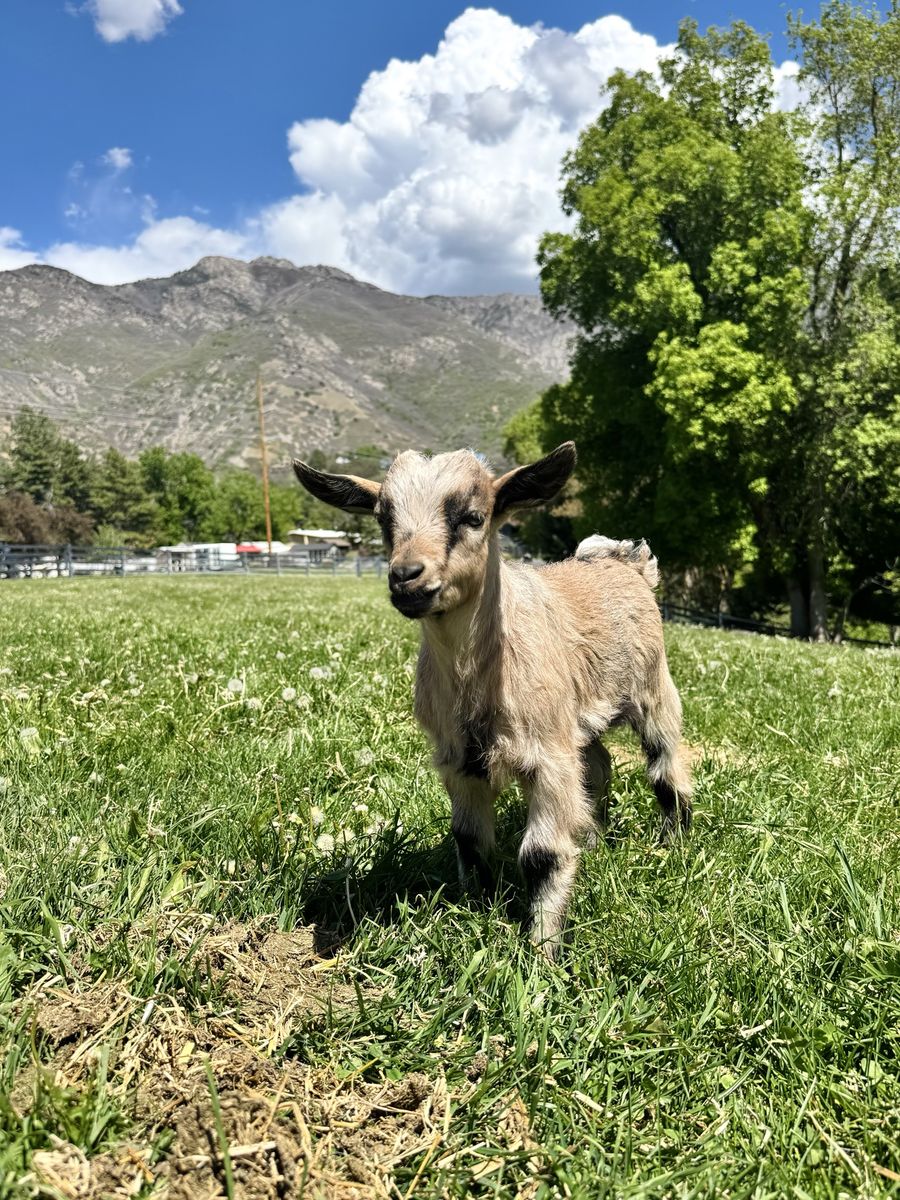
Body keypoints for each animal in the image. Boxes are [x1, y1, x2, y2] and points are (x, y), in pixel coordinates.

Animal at [293, 442, 692, 958]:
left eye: (473, 517)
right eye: (383, 519)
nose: (406, 577)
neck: (477, 681)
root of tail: (627, 563)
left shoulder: (547, 757)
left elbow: (542, 855)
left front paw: (542, 952)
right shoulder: (459, 759)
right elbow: (468, 839)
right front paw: (476, 909)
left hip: (653, 689)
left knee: (665, 766)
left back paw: (673, 842)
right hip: (578, 721)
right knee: (598, 766)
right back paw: (594, 837)